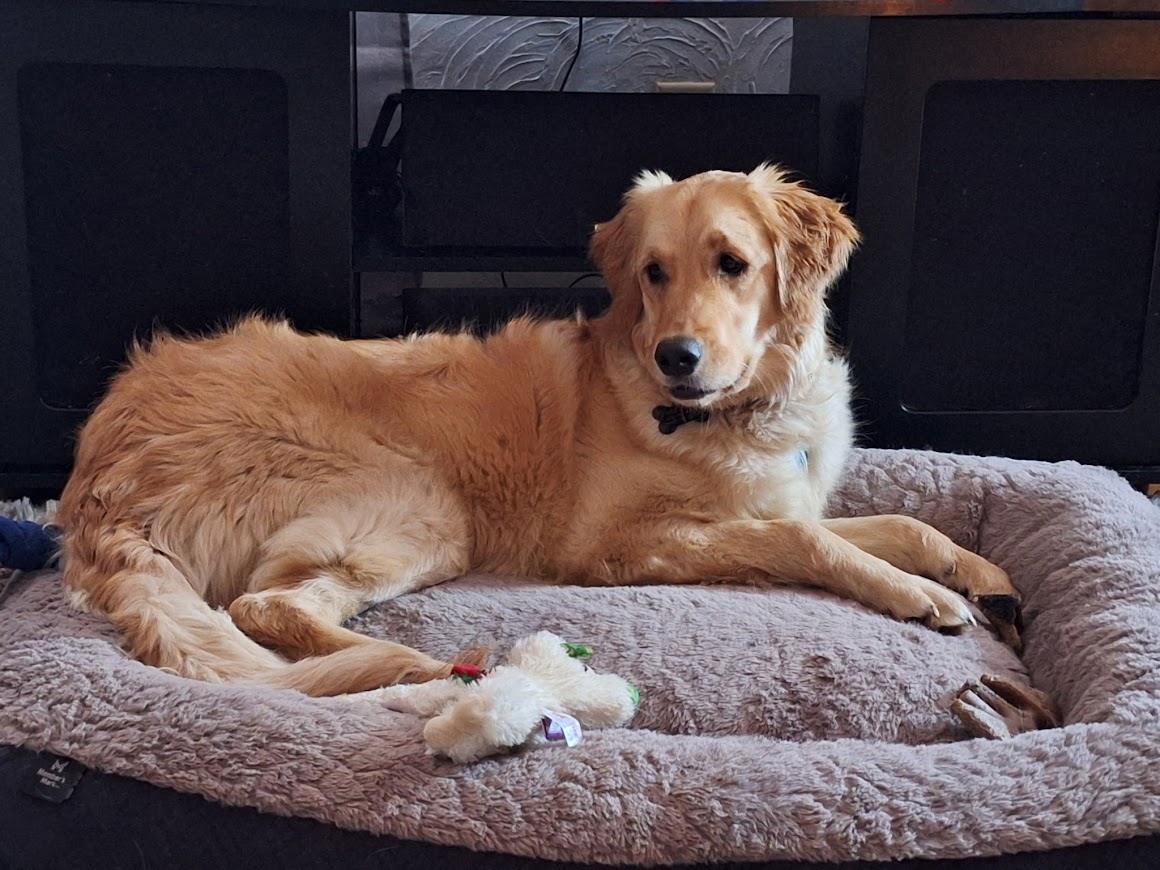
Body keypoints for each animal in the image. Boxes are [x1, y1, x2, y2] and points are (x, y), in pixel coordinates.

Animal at [57, 165, 1021, 698]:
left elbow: (898, 523)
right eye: (653, 272)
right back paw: (421, 664)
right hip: (425, 502)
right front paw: (919, 596)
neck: (743, 407)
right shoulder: (616, 545)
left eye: (733, 264)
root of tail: (96, 471)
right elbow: (805, 541)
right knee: (263, 605)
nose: (676, 357)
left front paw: (979, 575)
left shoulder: (781, 496)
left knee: (276, 607)